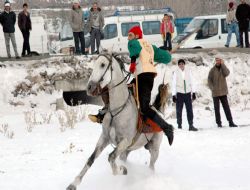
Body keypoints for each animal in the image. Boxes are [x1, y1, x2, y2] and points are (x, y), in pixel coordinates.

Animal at [66, 52, 164, 190]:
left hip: (154, 149)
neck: (117, 110)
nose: (89, 87)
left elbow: (111, 157)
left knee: (151, 166)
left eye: (102, 64)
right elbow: (91, 159)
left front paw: (122, 170)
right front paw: (74, 183)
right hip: (127, 151)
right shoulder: (105, 138)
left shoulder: (124, 141)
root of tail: (158, 111)